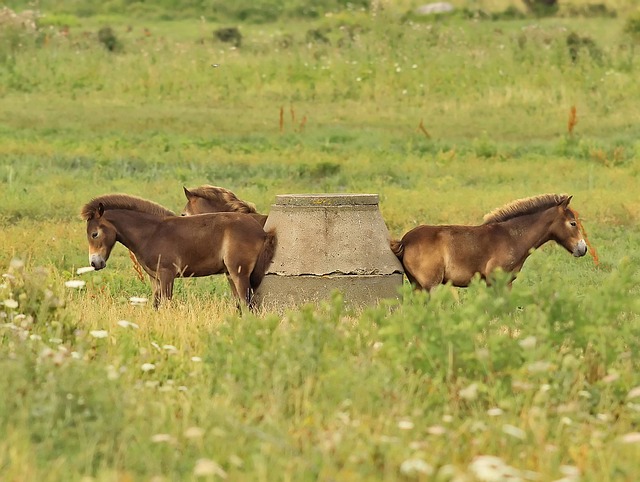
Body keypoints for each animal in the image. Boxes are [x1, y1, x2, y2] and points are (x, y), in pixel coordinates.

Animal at [81, 193, 276, 309]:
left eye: (95, 233)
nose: (95, 263)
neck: (151, 232)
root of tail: (262, 231)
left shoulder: (167, 274)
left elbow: (166, 304)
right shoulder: (155, 278)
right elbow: (156, 304)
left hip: (239, 273)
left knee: (246, 303)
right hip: (230, 274)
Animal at [390, 194, 588, 291]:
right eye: (573, 223)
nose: (583, 248)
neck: (512, 236)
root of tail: (405, 241)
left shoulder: (507, 282)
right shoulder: (495, 280)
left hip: (417, 286)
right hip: (431, 285)